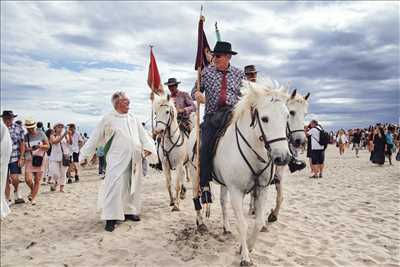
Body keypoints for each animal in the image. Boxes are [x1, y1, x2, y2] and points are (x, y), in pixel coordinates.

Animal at [186, 81, 292, 266]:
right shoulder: (236, 191)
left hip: (223, 183)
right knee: (196, 197)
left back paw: (226, 227)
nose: (283, 157)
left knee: (222, 203)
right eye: (265, 118)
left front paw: (248, 247)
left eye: (287, 116)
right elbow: (242, 224)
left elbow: (258, 222)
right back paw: (200, 223)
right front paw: (245, 257)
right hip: (194, 174)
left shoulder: (262, 189)